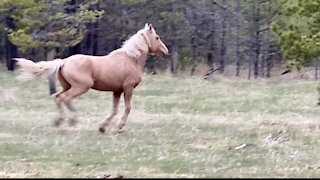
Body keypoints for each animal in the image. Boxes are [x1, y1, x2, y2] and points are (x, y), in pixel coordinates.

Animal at [14, 23, 170, 133]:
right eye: (157, 37)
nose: (165, 51)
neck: (131, 59)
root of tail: (64, 61)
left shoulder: (117, 91)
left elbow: (114, 109)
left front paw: (102, 127)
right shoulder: (128, 88)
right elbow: (127, 107)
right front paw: (120, 127)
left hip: (67, 86)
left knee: (57, 97)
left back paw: (59, 121)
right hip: (81, 87)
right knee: (66, 98)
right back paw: (73, 120)